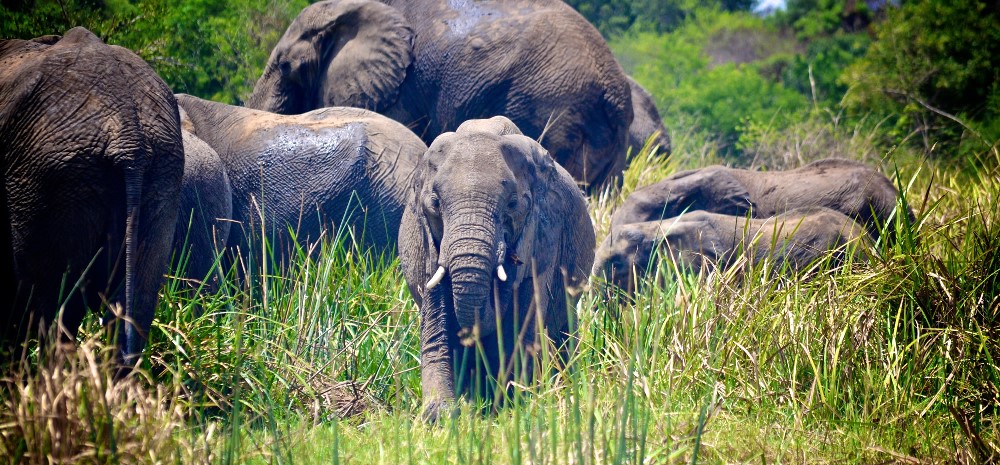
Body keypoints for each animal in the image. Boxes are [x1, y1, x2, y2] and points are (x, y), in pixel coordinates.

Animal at [397, 116, 595, 420]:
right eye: (435, 204)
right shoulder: (429, 242)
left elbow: (521, 324)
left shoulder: (541, 234)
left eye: (512, 204)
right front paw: (440, 416)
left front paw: (510, 408)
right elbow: (437, 324)